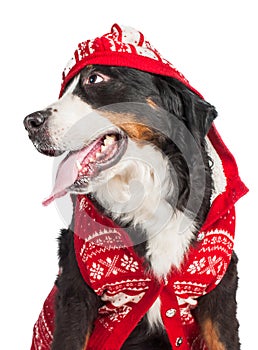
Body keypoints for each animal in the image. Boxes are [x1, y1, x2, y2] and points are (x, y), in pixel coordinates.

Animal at [24, 24, 248, 350]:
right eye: (64, 91)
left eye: (95, 79)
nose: (30, 123)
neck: (145, 187)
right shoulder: (75, 291)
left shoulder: (219, 290)